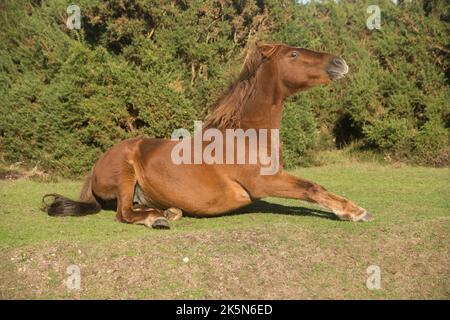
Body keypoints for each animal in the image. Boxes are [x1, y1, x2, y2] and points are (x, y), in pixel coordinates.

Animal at [43, 43, 372, 228]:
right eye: (293, 54)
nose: (339, 63)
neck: (245, 136)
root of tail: (96, 166)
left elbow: (314, 188)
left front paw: (353, 210)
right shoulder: (265, 183)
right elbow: (312, 187)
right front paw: (354, 212)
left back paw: (169, 212)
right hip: (125, 173)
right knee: (123, 213)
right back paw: (156, 219)